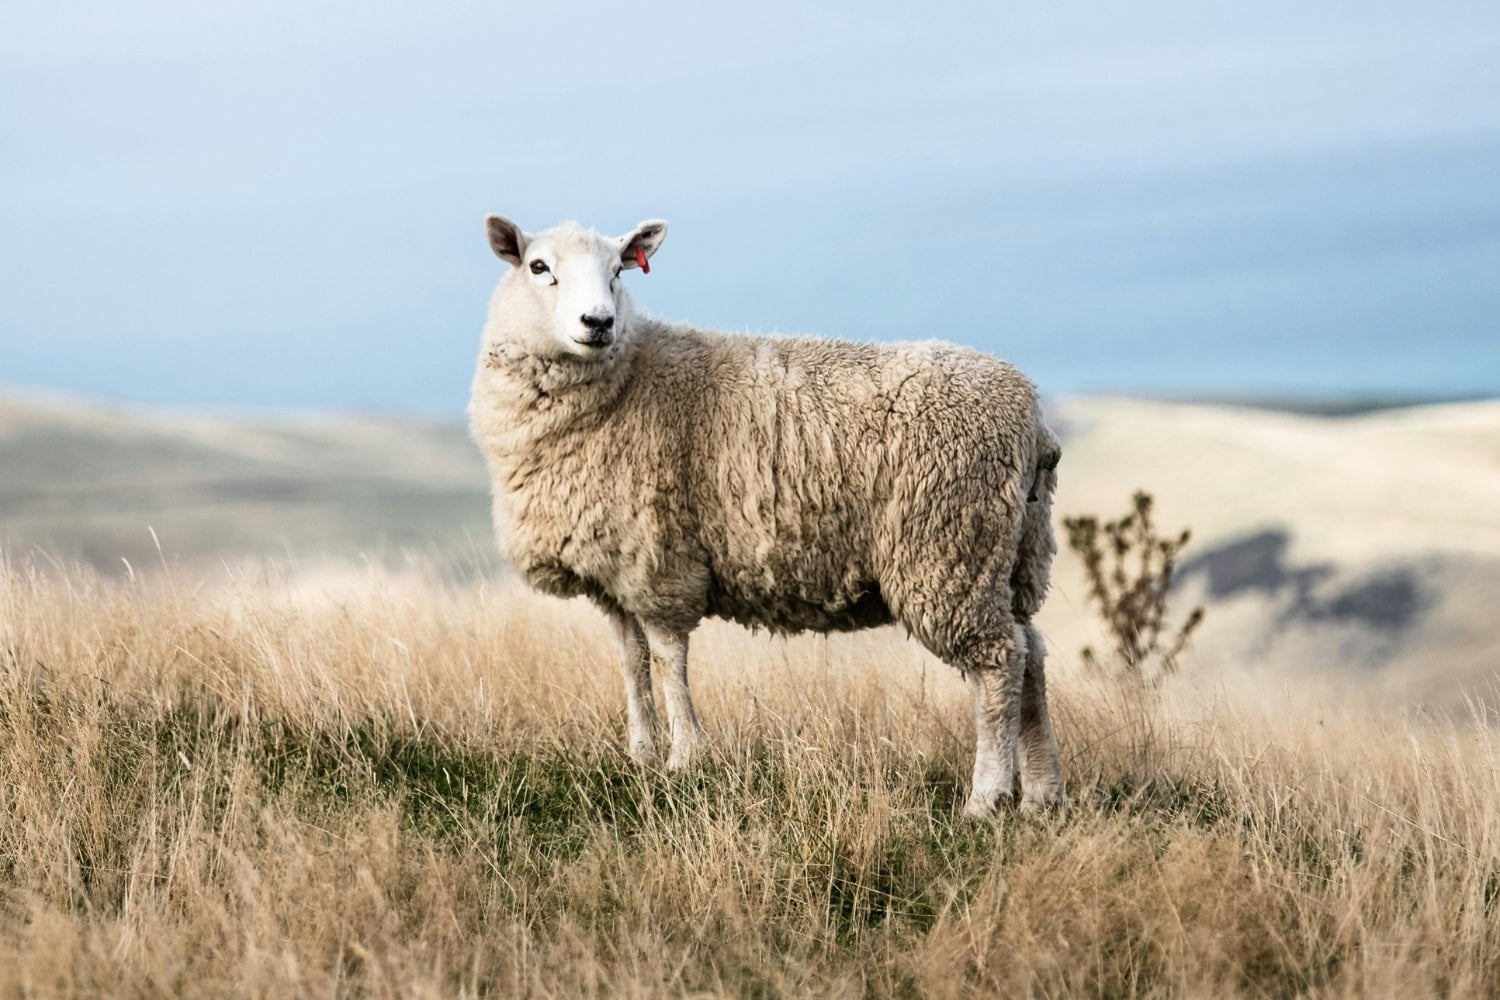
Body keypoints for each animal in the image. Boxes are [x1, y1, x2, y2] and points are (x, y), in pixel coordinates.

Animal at [469, 214, 1064, 817]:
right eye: (539, 267)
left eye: (618, 270)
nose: (598, 322)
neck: (628, 379)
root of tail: (1033, 420)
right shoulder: (615, 571)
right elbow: (631, 662)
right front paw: (641, 754)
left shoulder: (661, 563)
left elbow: (668, 658)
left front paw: (685, 758)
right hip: (1011, 555)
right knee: (1031, 653)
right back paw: (1042, 793)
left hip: (948, 550)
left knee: (998, 662)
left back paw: (986, 797)